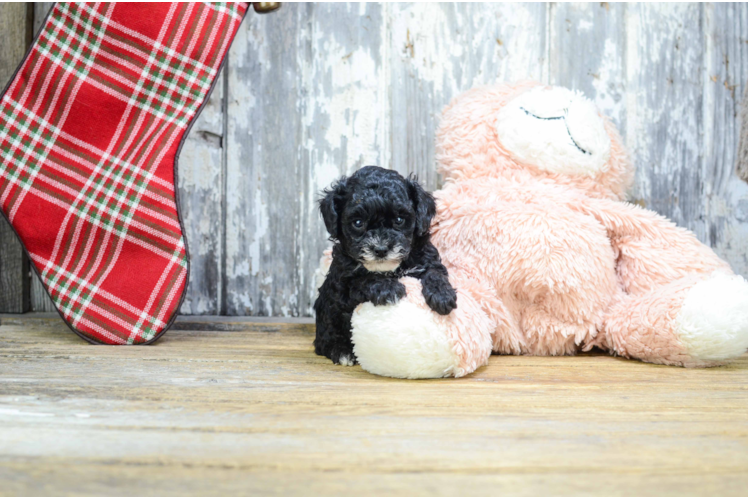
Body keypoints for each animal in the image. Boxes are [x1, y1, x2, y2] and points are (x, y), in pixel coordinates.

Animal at [312, 166, 456, 366]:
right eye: (358, 223)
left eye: (399, 220)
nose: (380, 249)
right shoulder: (342, 283)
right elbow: (363, 279)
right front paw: (388, 288)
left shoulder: (427, 258)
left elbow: (435, 272)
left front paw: (443, 295)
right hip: (328, 312)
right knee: (325, 338)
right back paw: (341, 351)